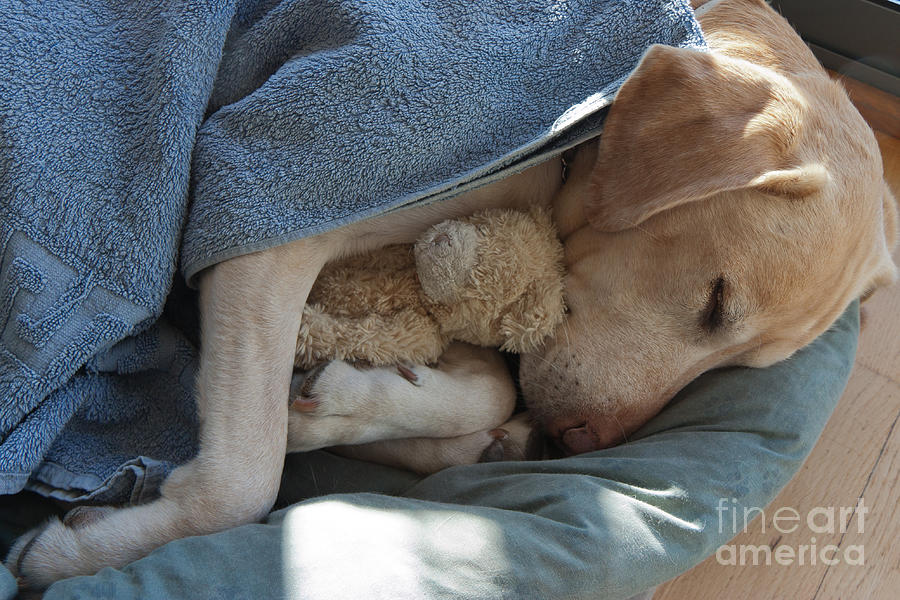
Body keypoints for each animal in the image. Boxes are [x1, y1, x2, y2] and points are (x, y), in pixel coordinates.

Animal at [10, 0, 896, 588]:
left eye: (738, 369)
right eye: (715, 302)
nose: (574, 444)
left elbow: (482, 391)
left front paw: (357, 406)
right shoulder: (266, 215)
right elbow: (243, 481)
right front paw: (79, 551)